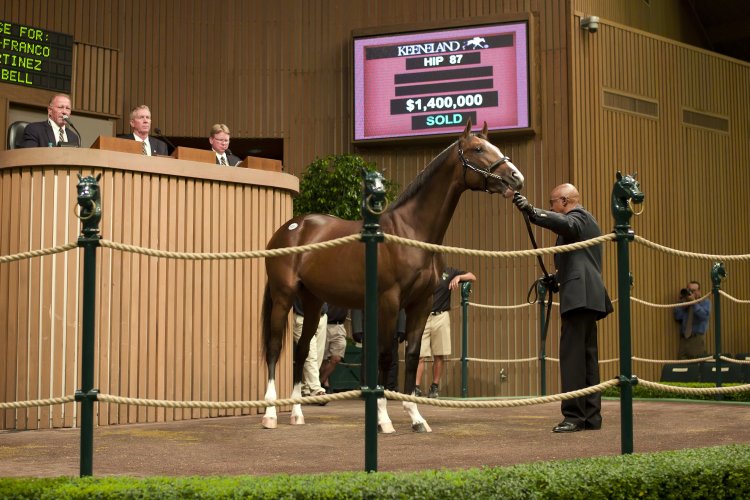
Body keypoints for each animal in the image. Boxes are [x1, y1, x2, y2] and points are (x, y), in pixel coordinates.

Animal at [262, 119, 524, 432]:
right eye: (478, 149)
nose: (516, 178)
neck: (410, 232)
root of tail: (291, 227)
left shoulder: (420, 304)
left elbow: (411, 355)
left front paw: (416, 417)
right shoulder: (388, 301)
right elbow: (385, 356)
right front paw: (383, 419)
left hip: (313, 303)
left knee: (301, 351)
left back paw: (297, 413)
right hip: (283, 296)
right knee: (275, 347)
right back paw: (270, 414)